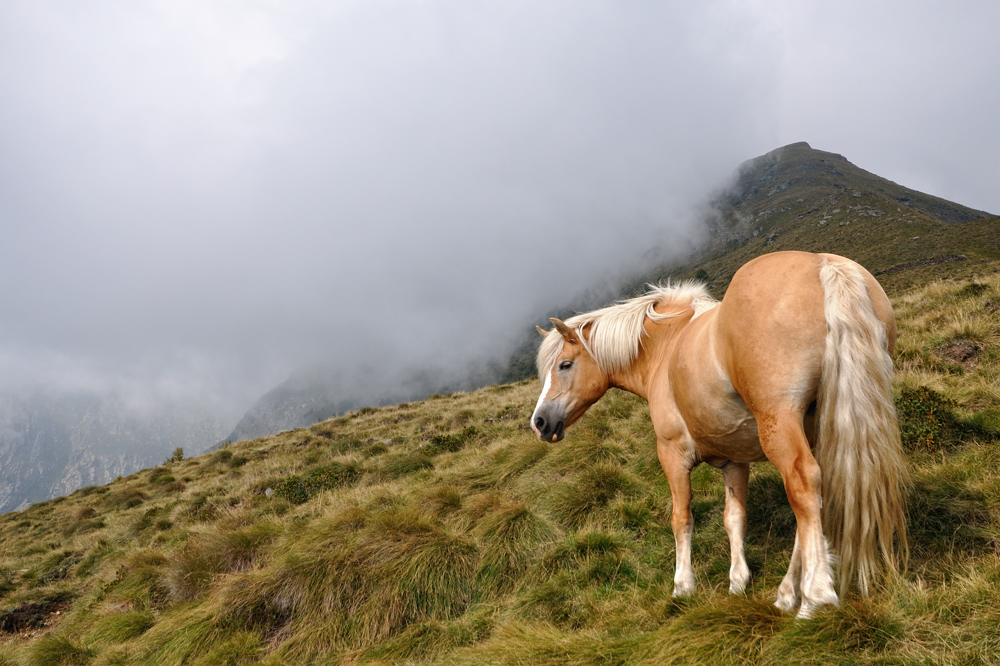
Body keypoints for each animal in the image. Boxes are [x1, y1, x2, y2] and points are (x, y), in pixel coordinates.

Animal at [536, 250, 912, 616]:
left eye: (565, 365)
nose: (539, 422)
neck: (667, 346)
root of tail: (825, 264)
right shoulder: (734, 461)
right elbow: (734, 518)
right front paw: (738, 581)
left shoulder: (672, 454)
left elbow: (681, 518)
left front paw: (683, 586)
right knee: (814, 498)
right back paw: (788, 593)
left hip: (780, 424)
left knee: (804, 485)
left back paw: (814, 597)